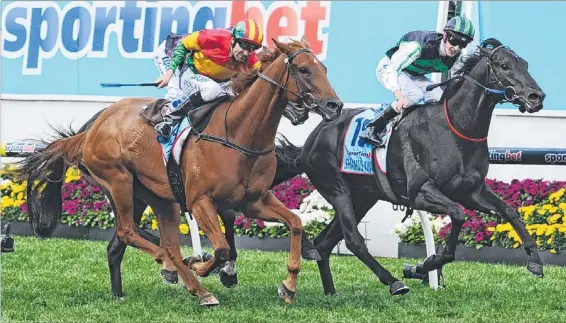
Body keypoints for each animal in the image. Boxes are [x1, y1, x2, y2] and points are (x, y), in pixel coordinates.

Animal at [15, 37, 344, 306]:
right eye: (303, 69)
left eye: (325, 68)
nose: (334, 105)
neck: (239, 133)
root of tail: (91, 129)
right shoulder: (200, 202)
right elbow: (222, 247)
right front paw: (205, 266)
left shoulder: (255, 201)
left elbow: (296, 224)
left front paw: (288, 286)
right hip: (118, 181)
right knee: (130, 232)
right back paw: (178, 270)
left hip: (160, 197)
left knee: (160, 242)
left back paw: (189, 284)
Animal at [274, 38, 544, 296]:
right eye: (504, 65)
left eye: (526, 64)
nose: (536, 97)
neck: (456, 130)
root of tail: (312, 139)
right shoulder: (420, 192)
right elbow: (457, 214)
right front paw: (425, 265)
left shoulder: (471, 191)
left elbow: (509, 211)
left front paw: (535, 260)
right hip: (336, 189)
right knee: (352, 239)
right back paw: (393, 282)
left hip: (362, 197)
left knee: (324, 244)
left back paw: (331, 293)